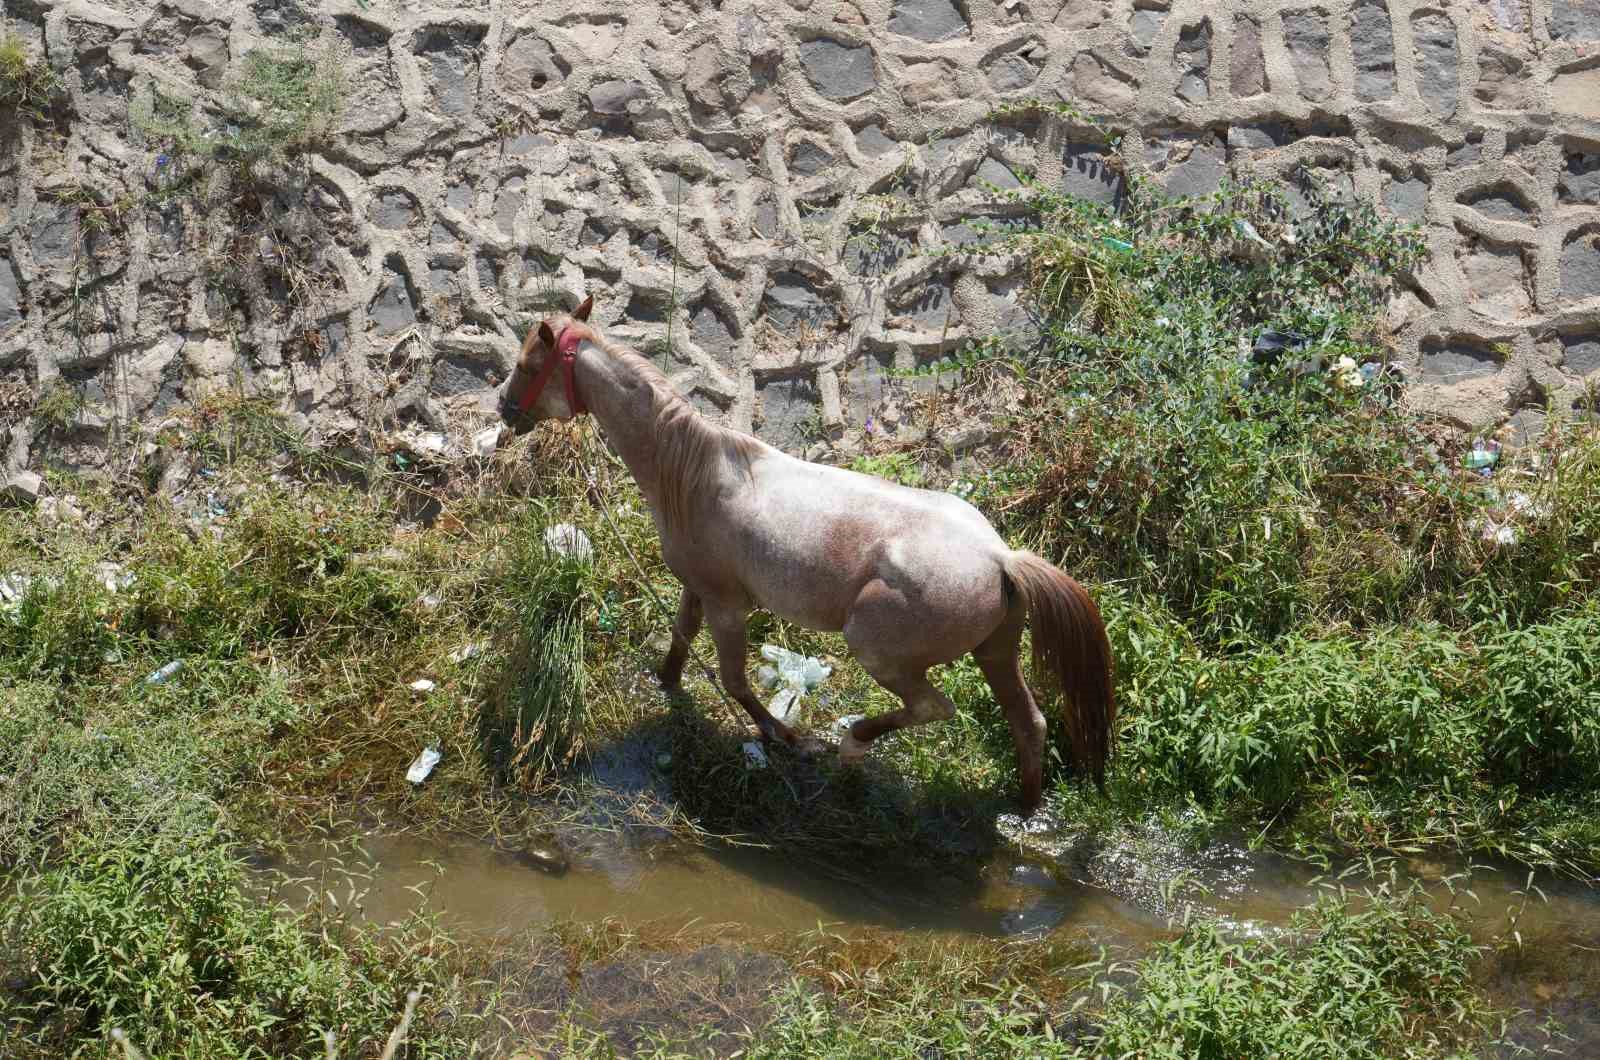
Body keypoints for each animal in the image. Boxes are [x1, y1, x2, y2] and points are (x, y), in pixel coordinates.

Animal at [496, 294, 1113, 816]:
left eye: (527, 366)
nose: (503, 409)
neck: (691, 474)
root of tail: (1000, 557)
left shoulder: (728, 605)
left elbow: (735, 681)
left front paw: (787, 736)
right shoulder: (699, 587)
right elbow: (680, 639)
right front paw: (666, 684)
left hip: (878, 647)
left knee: (935, 709)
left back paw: (853, 742)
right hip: (996, 652)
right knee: (1029, 722)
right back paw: (1024, 807)